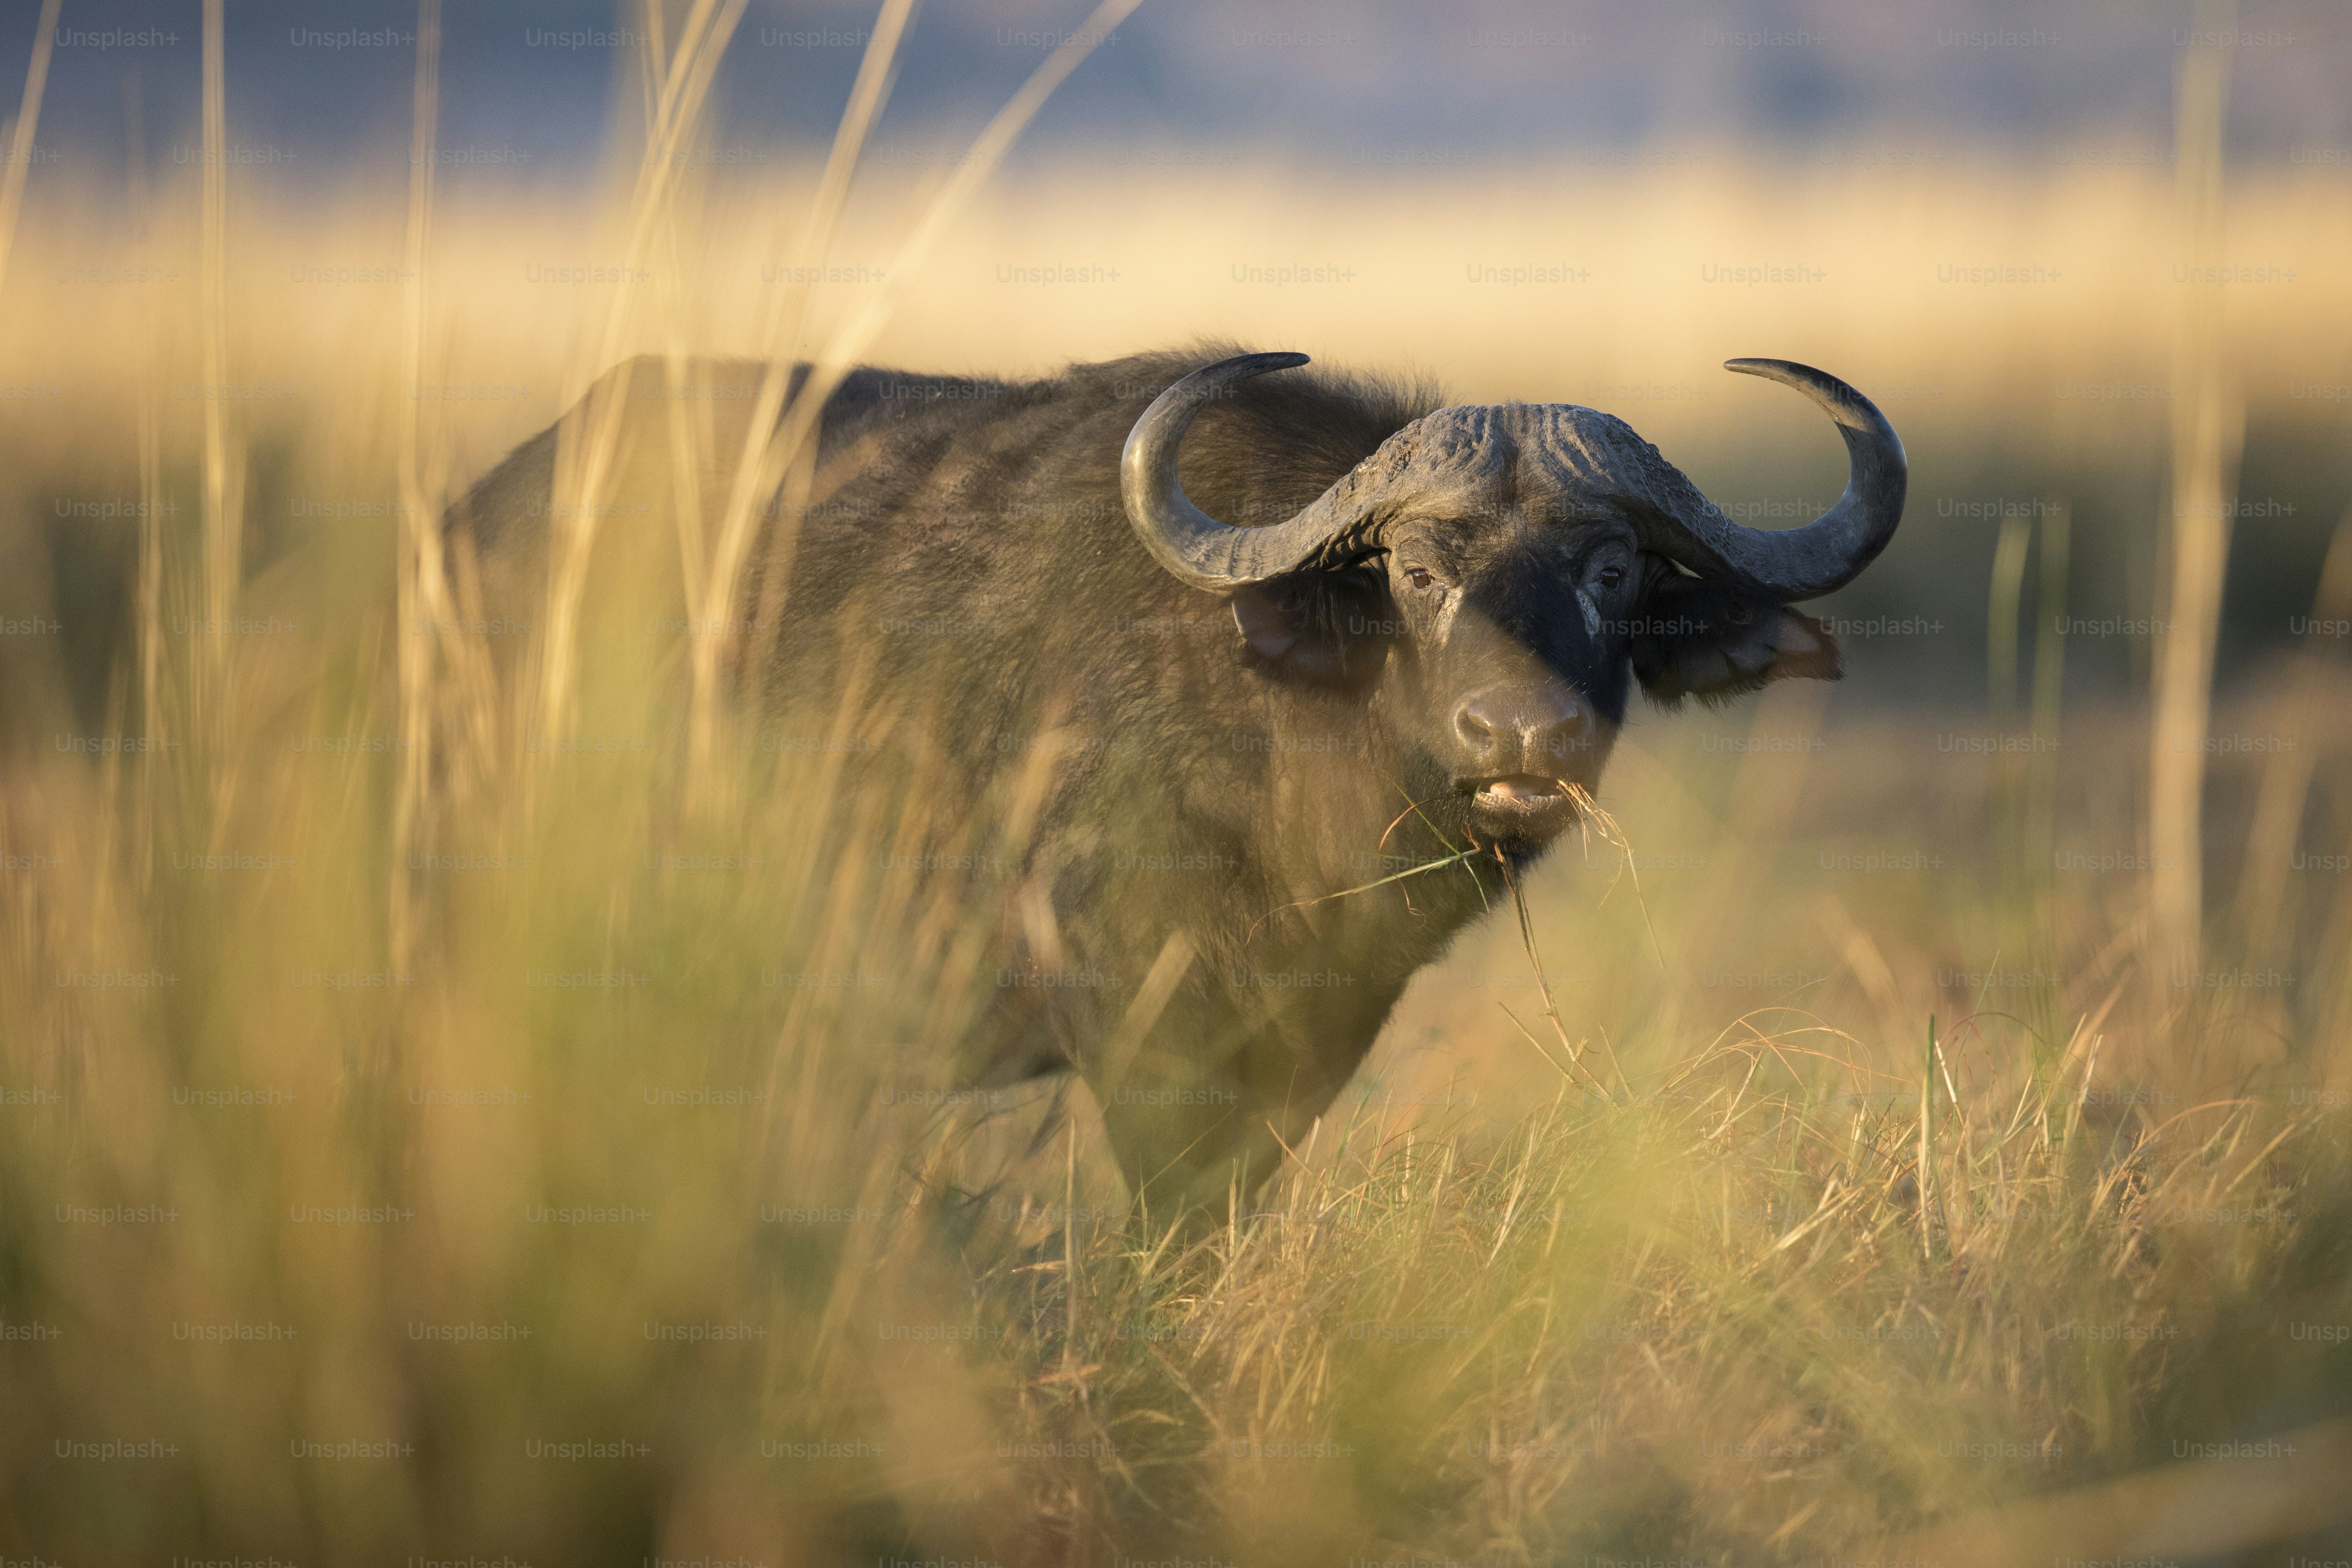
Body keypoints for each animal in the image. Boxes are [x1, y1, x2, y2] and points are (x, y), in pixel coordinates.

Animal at [447, 346, 1906, 1218]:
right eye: (1413, 571)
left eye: (1611, 569)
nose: (1520, 735)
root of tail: (463, 531)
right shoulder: (1147, 1050)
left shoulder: (1306, 1051)